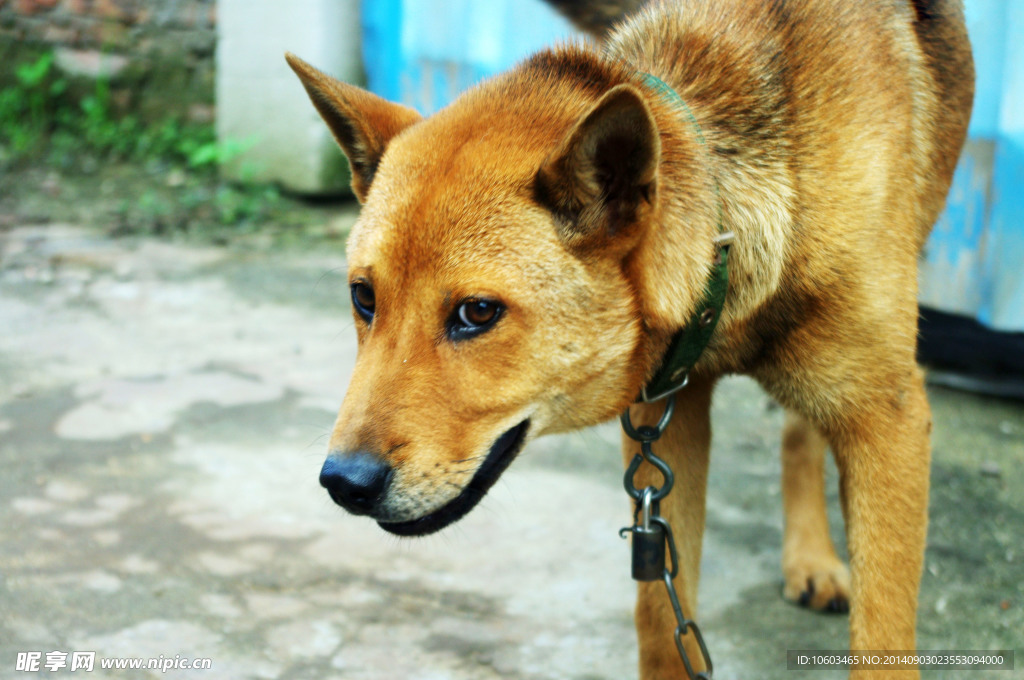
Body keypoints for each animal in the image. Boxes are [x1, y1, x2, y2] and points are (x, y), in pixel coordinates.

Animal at [284, 2, 970, 675]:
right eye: (364, 298)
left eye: (476, 313)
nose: (343, 483)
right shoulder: (667, 419)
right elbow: (662, 627)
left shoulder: (889, 423)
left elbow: (883, 638)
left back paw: (813, 558)